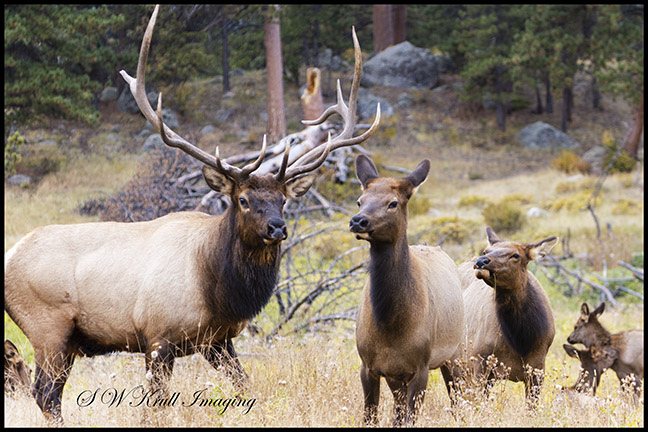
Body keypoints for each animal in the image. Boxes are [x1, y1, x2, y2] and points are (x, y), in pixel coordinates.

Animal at [4, 5, 379, 423]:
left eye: (283, 200)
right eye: (242, 199)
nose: (277, 228)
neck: (218, 287)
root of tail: (9, 257)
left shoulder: (217, 340)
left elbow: (244, 387)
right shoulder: (157, 337)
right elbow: (155, 406)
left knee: (46, 393)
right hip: (48, 328)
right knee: (45, 394)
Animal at [349, 155, 464, 426]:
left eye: (393, 202)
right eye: (360, 200)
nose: (358, 220)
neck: (390, 325)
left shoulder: (420, 367)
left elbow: (410, 419)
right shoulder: (368, 365)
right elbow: (371, 417)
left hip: (455, 353)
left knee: (457, 399)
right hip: (396, 376)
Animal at [441, 227, 557, 410]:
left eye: (516, 255)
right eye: (486, 251)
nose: (481, 261)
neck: (522, 340)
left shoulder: (538, 367)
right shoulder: (480, 362)